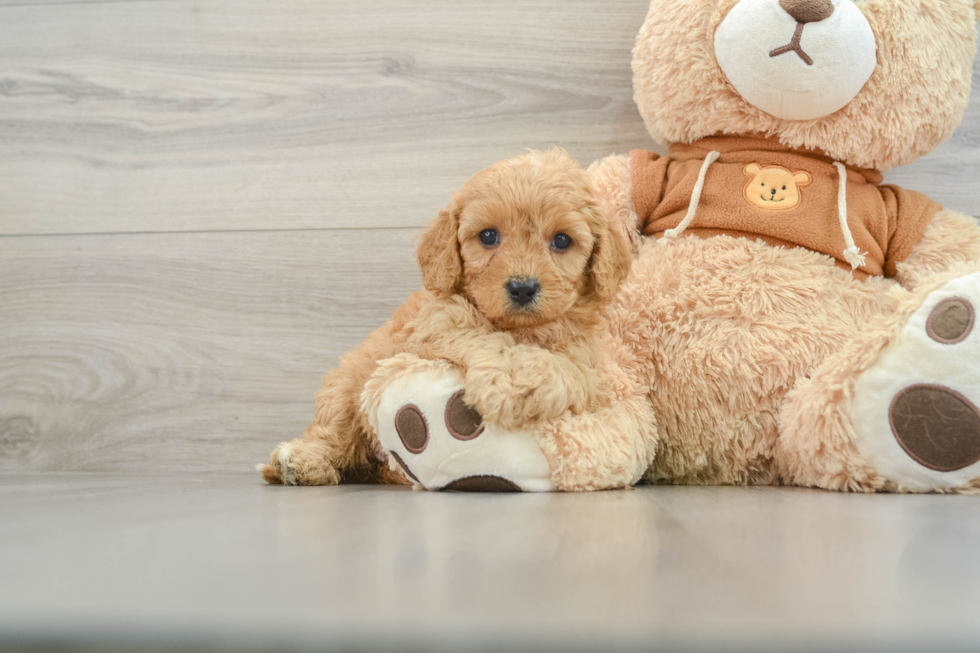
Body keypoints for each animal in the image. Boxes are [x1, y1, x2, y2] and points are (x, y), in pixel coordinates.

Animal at [256, 148, 632, 484]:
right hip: (345, 386)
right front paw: (511, 380)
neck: (519, 329)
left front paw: (524, 380)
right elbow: (483, 336)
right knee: (332, 432)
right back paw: (299, 462)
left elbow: (565, 368)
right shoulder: (437, 320)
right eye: (488, 236)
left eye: (562, 241)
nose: (523, 288)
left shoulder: (586, 363)